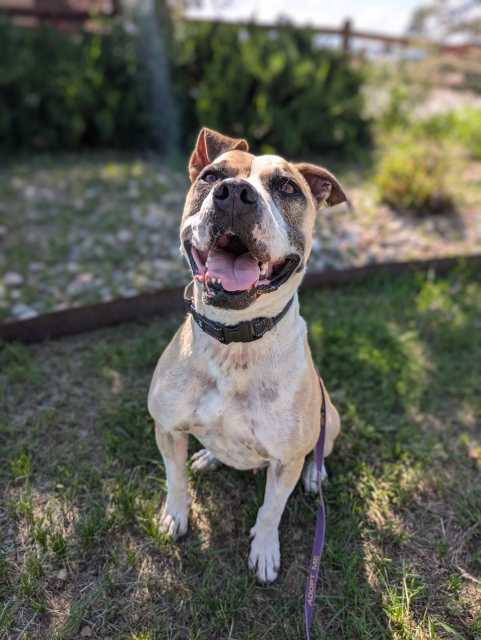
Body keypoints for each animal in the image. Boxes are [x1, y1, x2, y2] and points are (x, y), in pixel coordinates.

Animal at [147, 127, 344, 584]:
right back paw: (207, 456)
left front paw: (265, 550)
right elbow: (174, 479)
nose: (235, 193)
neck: (234, 345)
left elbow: (271, 509)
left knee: (319, 453)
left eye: (287, 187)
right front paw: (175, 515)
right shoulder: (167, 428)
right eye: (211, 176)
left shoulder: (286, 460)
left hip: (331, 416)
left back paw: (316, 475)